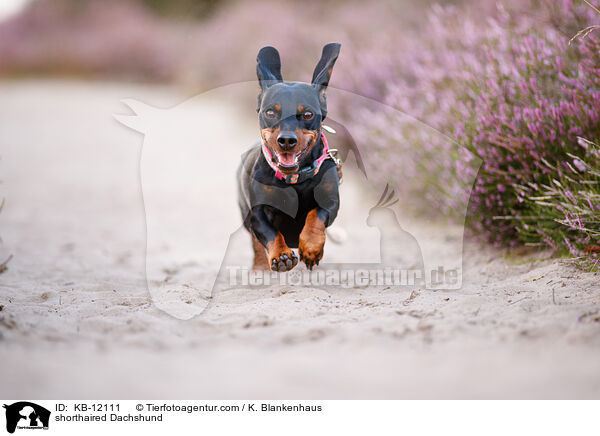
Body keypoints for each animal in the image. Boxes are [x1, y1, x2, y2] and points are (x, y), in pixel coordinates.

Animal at [239, 42, 342, 270]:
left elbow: (316, 215)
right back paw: (260, 266)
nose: (286, 140)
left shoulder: (330, 201)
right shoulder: (258, 212)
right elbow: (269, 233)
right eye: (270, 112)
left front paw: (311, 248)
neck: (294, 180)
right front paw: (281, 256)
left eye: (308, 114)